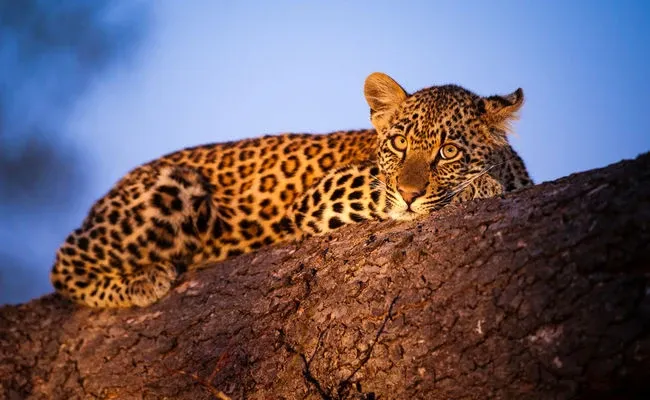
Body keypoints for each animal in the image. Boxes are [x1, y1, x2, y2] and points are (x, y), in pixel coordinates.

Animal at [50, 72, 532, 308]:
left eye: (448, 151)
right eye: (399, 143)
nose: (411, 191)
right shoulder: (329, 192)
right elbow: (385, 192)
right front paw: (479, 186)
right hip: (175, 186)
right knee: (62, 265)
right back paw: (143, 281)